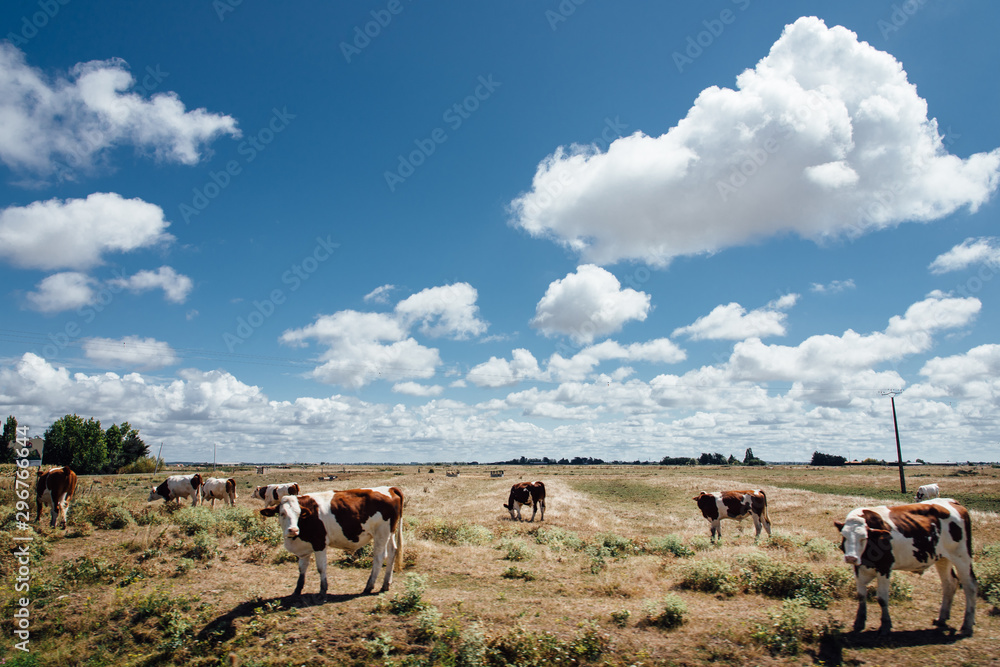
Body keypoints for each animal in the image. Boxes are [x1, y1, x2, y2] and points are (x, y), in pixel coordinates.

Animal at [260, 486, 404, 597]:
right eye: (282, 513)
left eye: (298, 513)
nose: (293, 530)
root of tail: (389, 488)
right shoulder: (304, 548)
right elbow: (302, 568)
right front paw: (297, 590)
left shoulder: (319, 543)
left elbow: (321, 567)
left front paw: (323, 590)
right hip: (390, 532)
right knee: (392, 552)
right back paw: (385, 584)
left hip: (381, 533)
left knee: (379, 557)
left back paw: (369, 587)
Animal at [835, 497, 977, 636]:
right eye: (844, 536)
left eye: (863, 537)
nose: (851, 557)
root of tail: (953, 502)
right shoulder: (858, 568)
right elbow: (861, 596)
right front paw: (859, 622)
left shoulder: (884, 568)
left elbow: (882, 598)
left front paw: (885, 625)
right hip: (943, 558)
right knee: (949, 584)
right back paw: (941, 618)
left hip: (962, 556)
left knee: (970, 586)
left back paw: (967, 626)